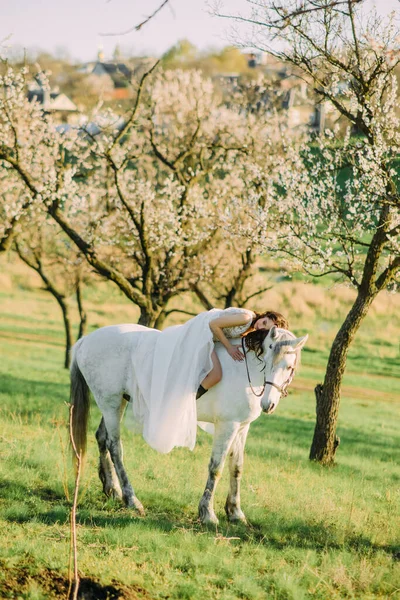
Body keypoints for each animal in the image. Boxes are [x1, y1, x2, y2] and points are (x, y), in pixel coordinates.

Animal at [70, 324, 308, 524]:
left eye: (289, 367)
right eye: (267, 361)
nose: (268, 404)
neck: (243, 368)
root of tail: (86, 340)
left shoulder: (242, 427)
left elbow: (237, 467)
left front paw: (235, 512)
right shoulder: (227, 426)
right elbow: (216, 468)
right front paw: (208, 513)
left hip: (116, 403)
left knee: (102, 438)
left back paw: (113, 490)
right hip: (110, 403)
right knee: (115, 447)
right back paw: (131, 499)